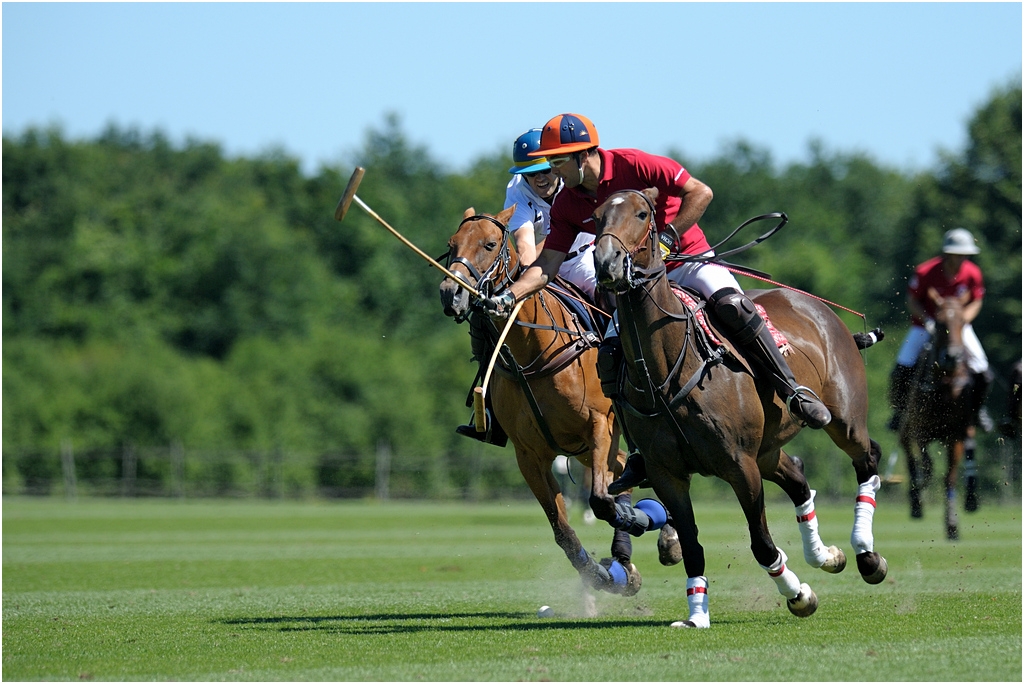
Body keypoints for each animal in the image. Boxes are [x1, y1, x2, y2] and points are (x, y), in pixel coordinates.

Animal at [439, 204, 681, 608]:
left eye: (489, 244)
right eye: (451, 244)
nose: (450, 293)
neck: (532, 351)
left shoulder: (600, 425)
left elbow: (601, 500)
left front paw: (636, 526)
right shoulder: (529, 455)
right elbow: (563, 530)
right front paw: (600, 574)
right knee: (624, 472)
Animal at [590, 187, 888, 624]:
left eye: (643, 213)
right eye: (596, 217)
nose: (606, 262)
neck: (666, 368)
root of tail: (821, 309)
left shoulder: (738, 464)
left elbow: (762, 544)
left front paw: (799, 595)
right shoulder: (667, 474)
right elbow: (693, 547)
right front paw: (696, 616)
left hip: (842, 420)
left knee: (867, 459)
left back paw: (866, 554)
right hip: (767, 449)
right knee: (799, 478)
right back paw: (825, 555)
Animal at [898, 289, 978, 540]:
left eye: (963, 322)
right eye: (940, 322)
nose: (952, 357)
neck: (945, 386)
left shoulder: (956, 435)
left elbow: (949, 477)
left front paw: (952, 524)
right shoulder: (920, 430)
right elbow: (927, 465)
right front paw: (920, 490)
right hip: (905, 427)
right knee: (910, 456)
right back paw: (916, 503)